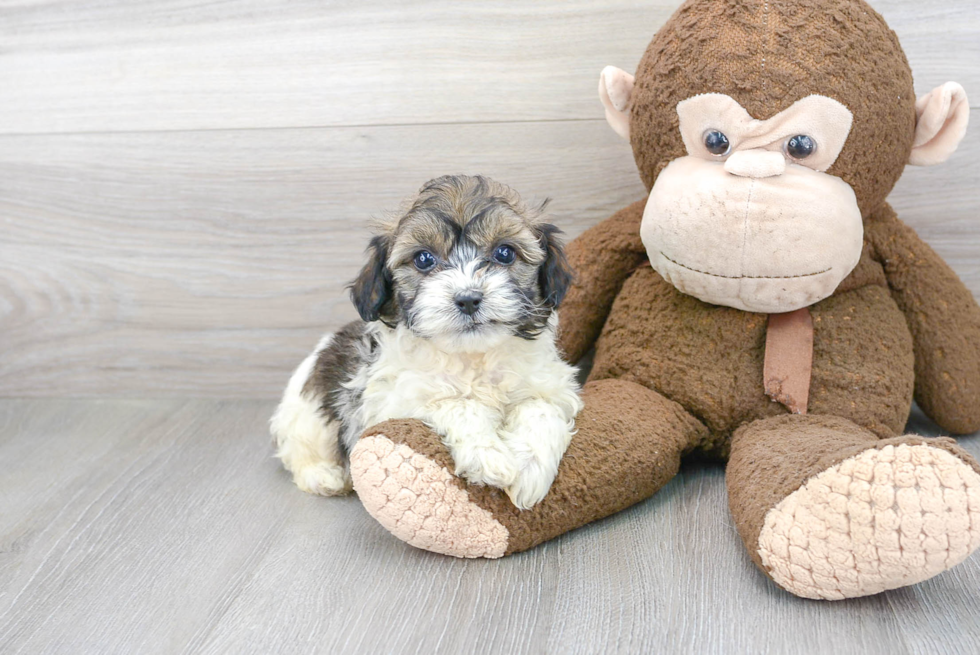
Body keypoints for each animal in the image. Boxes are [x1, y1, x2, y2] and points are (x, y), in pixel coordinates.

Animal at [270, 176, 580, 512]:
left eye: (505, 253)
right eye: (423, 259)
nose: (468, 299)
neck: (473, 356)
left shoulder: (550, 386)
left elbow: (541, 409)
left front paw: (528, 468)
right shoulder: (397, 401)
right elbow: (457, 404)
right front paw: (488, 456)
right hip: (308, 415)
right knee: (301, 451)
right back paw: (325, 477)